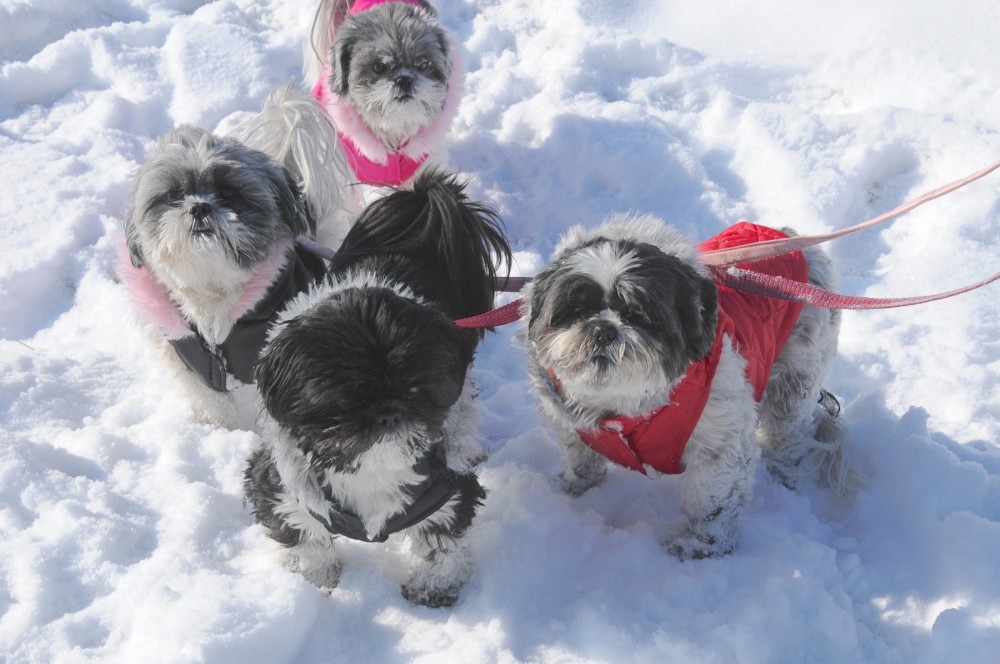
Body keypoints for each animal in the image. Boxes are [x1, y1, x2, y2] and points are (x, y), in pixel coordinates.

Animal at [245, 170, 512, 608]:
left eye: (416, 389)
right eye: (343, 399)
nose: (388, 411)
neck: (370, 467)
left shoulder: (447, 489)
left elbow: (442, 541)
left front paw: (433, 586)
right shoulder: (281, 485)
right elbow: (305, 538)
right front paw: (316, 579)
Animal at [520, 217, 856, 560]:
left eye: (639, 314)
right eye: (576, 310)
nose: (603, 329)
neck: (626, 403)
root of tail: (788, 236)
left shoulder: (721, 444)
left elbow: (712, 503)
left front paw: (702, 547)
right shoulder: (570, 421)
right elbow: (581, 458)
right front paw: (571, 486)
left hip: (795, 377)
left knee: (788, 434)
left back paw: (784, 473)